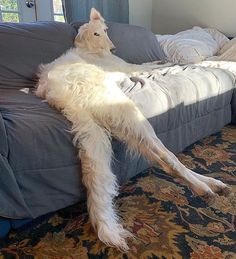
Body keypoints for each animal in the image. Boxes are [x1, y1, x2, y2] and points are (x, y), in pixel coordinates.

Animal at [36, 7, 231, 252]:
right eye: (96, 34)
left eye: (105, 30)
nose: (113, 48)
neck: (91, 50)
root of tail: (57, 93)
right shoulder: (129, 67)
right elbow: (153, 66)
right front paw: (179, 64)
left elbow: (154, 63)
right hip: (129, 114)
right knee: (169, 158)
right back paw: (204, 188)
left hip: (116, 126)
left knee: (162, 160)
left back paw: (212, 184)